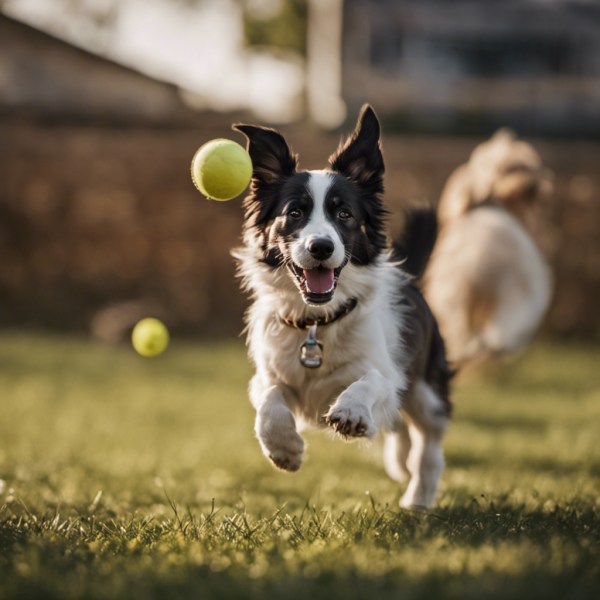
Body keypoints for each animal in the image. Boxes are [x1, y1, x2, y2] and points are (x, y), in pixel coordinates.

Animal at [232, 106, 452, 506]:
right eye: (295, 212)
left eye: (344, 214)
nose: (321, 247)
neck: (317, 322)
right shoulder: (270, 375)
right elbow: (269, 399)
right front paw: (284, 448)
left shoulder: (390, 374)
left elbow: (373, 380)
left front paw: (352, 410)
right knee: (401, 433)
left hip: (429, 391)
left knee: (429, 449)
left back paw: (418, 500)